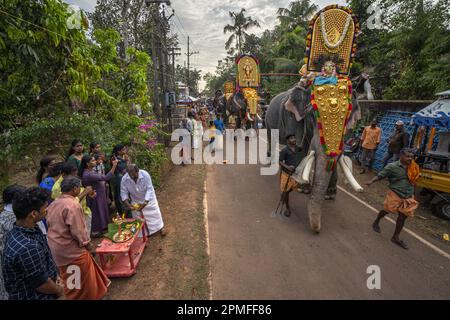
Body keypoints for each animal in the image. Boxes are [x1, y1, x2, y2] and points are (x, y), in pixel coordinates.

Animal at [266, 82, 364, 232]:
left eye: (346, 119)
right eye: (313, 116)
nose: (317, 229)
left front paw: (329, 195)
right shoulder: (292, 118)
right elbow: (302, 149)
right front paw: (303, 188)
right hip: (268, 120)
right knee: (272, 138)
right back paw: (270, 163)